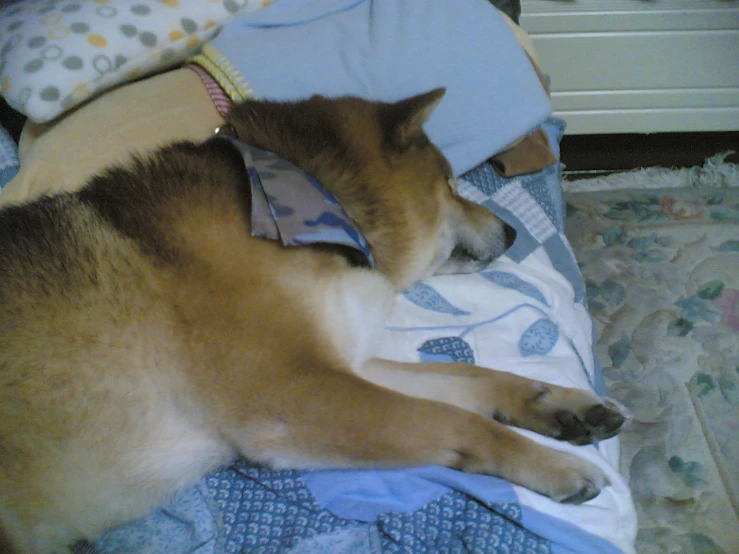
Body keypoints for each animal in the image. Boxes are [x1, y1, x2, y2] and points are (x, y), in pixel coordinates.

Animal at [0, 88, 624, 548]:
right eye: (449, 183)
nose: (514, 233)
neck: (323, 204)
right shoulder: (291, 392)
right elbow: (460, 422)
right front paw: (549, 464)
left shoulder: (342, 362)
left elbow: (473, 380)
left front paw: (561, 405)